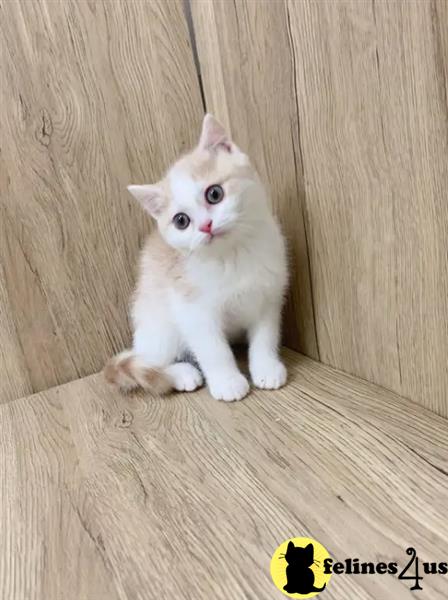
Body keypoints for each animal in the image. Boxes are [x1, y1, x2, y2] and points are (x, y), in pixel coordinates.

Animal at [104, 115, 288, 400]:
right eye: (181, 221)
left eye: (214, 193)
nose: (206, 226)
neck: (233, 255)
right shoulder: (193, 309)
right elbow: (214, 349)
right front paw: (227, 381)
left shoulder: (268, 295)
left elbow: (265, 336)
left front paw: (266, 367)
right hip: (156, 320)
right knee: (151, 360)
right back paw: (180, 373)